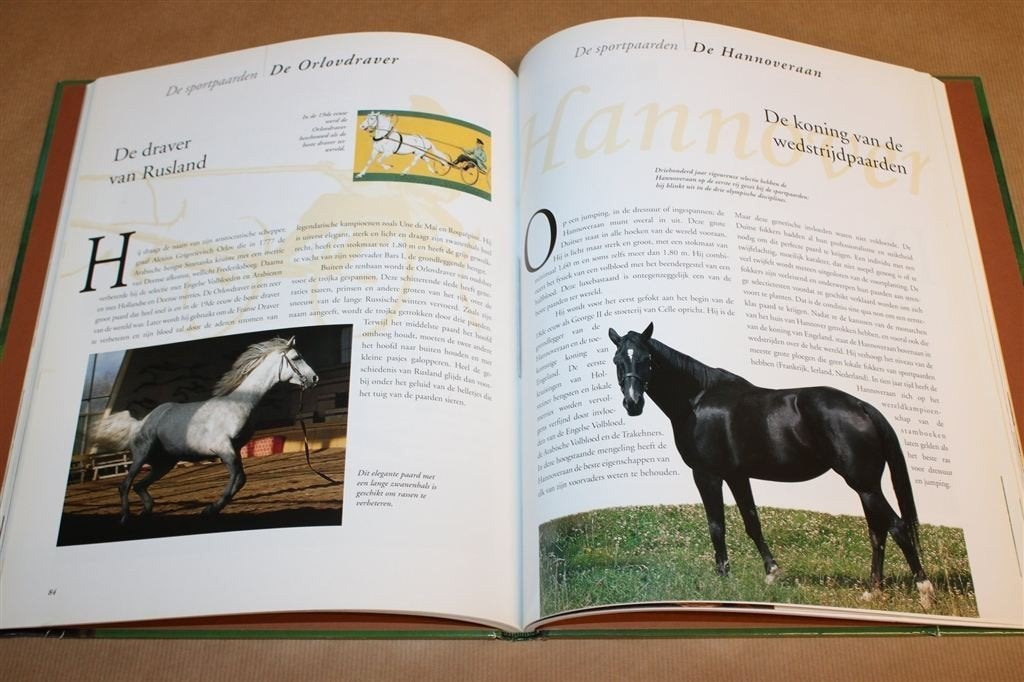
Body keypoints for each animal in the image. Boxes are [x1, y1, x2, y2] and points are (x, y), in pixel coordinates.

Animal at [92, 337, 319, 523]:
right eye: (296, 357)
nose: (315, 379)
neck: (240, 403)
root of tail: (141, 423)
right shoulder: (223, 448)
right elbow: (238, 477)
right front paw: (210, 509)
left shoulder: (235, 450)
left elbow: (241, 479)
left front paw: (212, 509)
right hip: (142, 455)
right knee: (125, 485)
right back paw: (125, 517)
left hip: (164, 463)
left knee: (139, 485)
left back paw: (145, 512)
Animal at [608, 322, 934, 608]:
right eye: (617, 360)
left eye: (647, 359)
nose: (633, 404)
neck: (697, 400)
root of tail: (863, 407)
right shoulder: (737, 476)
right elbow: (752, 523)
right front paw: (772, 573)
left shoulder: (707, 475)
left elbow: (716, 527)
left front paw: (723, 578)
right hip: (866, 487)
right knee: (878, 532)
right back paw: (872, 591)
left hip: (864, 484)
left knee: (897, 527)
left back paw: (924, 591)